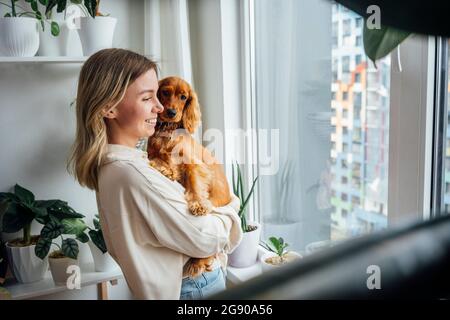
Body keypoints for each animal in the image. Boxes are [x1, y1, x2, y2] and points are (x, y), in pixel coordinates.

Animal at [148, 75, 232, 278]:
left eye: (183, 97)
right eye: (165, 92)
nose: (171, 112)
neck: (169, 131)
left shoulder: (193, 164)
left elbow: (194, 184)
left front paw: (199, 205)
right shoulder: (151, 152)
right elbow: (156, 157)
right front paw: (165, 168)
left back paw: (198, 262)